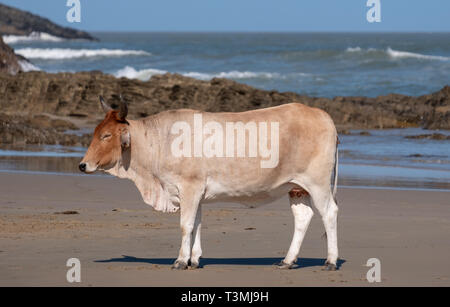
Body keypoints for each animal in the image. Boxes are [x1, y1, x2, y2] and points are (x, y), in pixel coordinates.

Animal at [79, 97, 340, 272]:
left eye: (106, 135)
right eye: (96, 132)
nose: (82, 165)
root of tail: (322, 115)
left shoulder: (189, 187)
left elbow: (186, 225)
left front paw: (180, 260)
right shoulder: (194, 194)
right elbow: (196, 224)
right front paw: (194, 259)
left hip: (318, 183)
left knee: (329, 213)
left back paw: (330, 261)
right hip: (296, 187)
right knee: (303, 217)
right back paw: (288, 261)